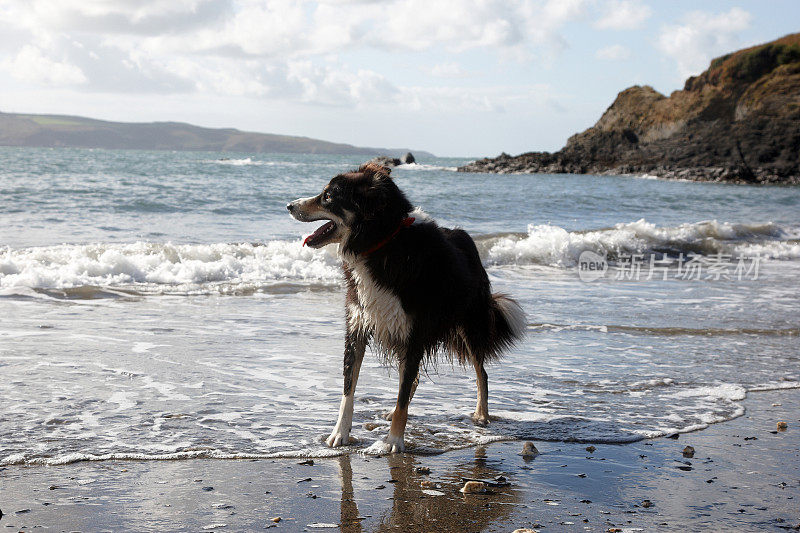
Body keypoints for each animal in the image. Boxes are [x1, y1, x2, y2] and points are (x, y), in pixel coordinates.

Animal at [288, 161, 524, 448]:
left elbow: (401, 393)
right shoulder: (357, 325)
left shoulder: (414, 332)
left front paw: (393, 441)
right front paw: (340, 433)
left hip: (469, 325)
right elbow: (348, 388)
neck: (380, 243)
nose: (289, 205)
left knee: (481, 373)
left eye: (328, 196)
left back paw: (481, 415)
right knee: (412, 378)